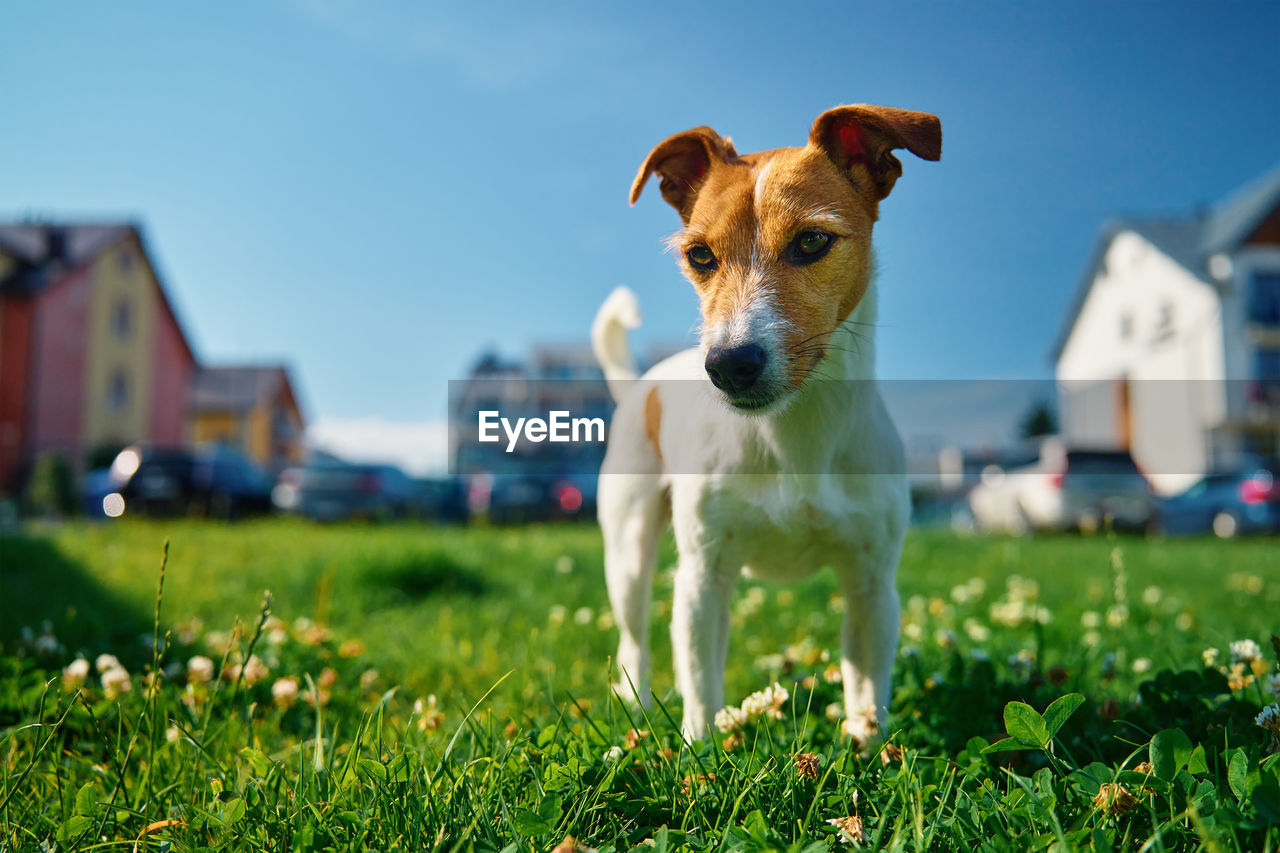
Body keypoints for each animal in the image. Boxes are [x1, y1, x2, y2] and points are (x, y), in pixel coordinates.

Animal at [591, 103, 942, 742]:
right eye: (699, 255)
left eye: (812, 241)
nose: (728, 364)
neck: (794, 435)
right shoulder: (703, 580)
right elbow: (701, 690)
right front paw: (699, 753)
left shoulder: (872, 584)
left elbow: (866, 691)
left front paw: (871, 748)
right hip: (628, 552)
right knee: (634, 642)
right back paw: (635, 707)